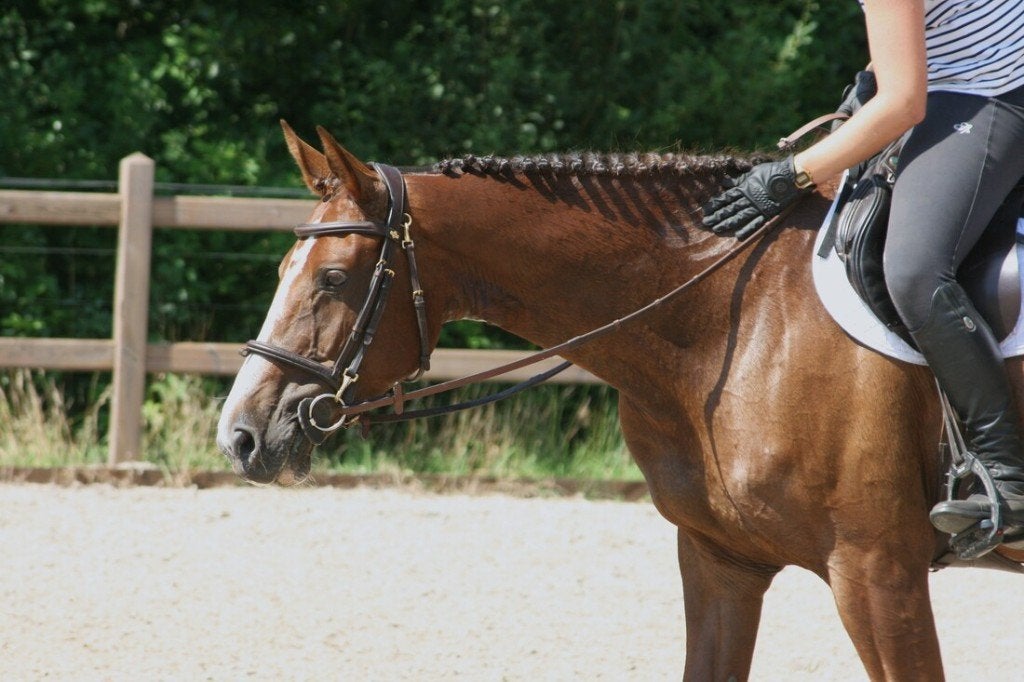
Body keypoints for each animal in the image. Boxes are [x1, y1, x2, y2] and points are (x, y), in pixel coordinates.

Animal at [217, 121, 1024, 680]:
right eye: (286, 268)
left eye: (332, 279)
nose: (241, 436)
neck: (730, 322)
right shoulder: (721, 563)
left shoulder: (878, 575)